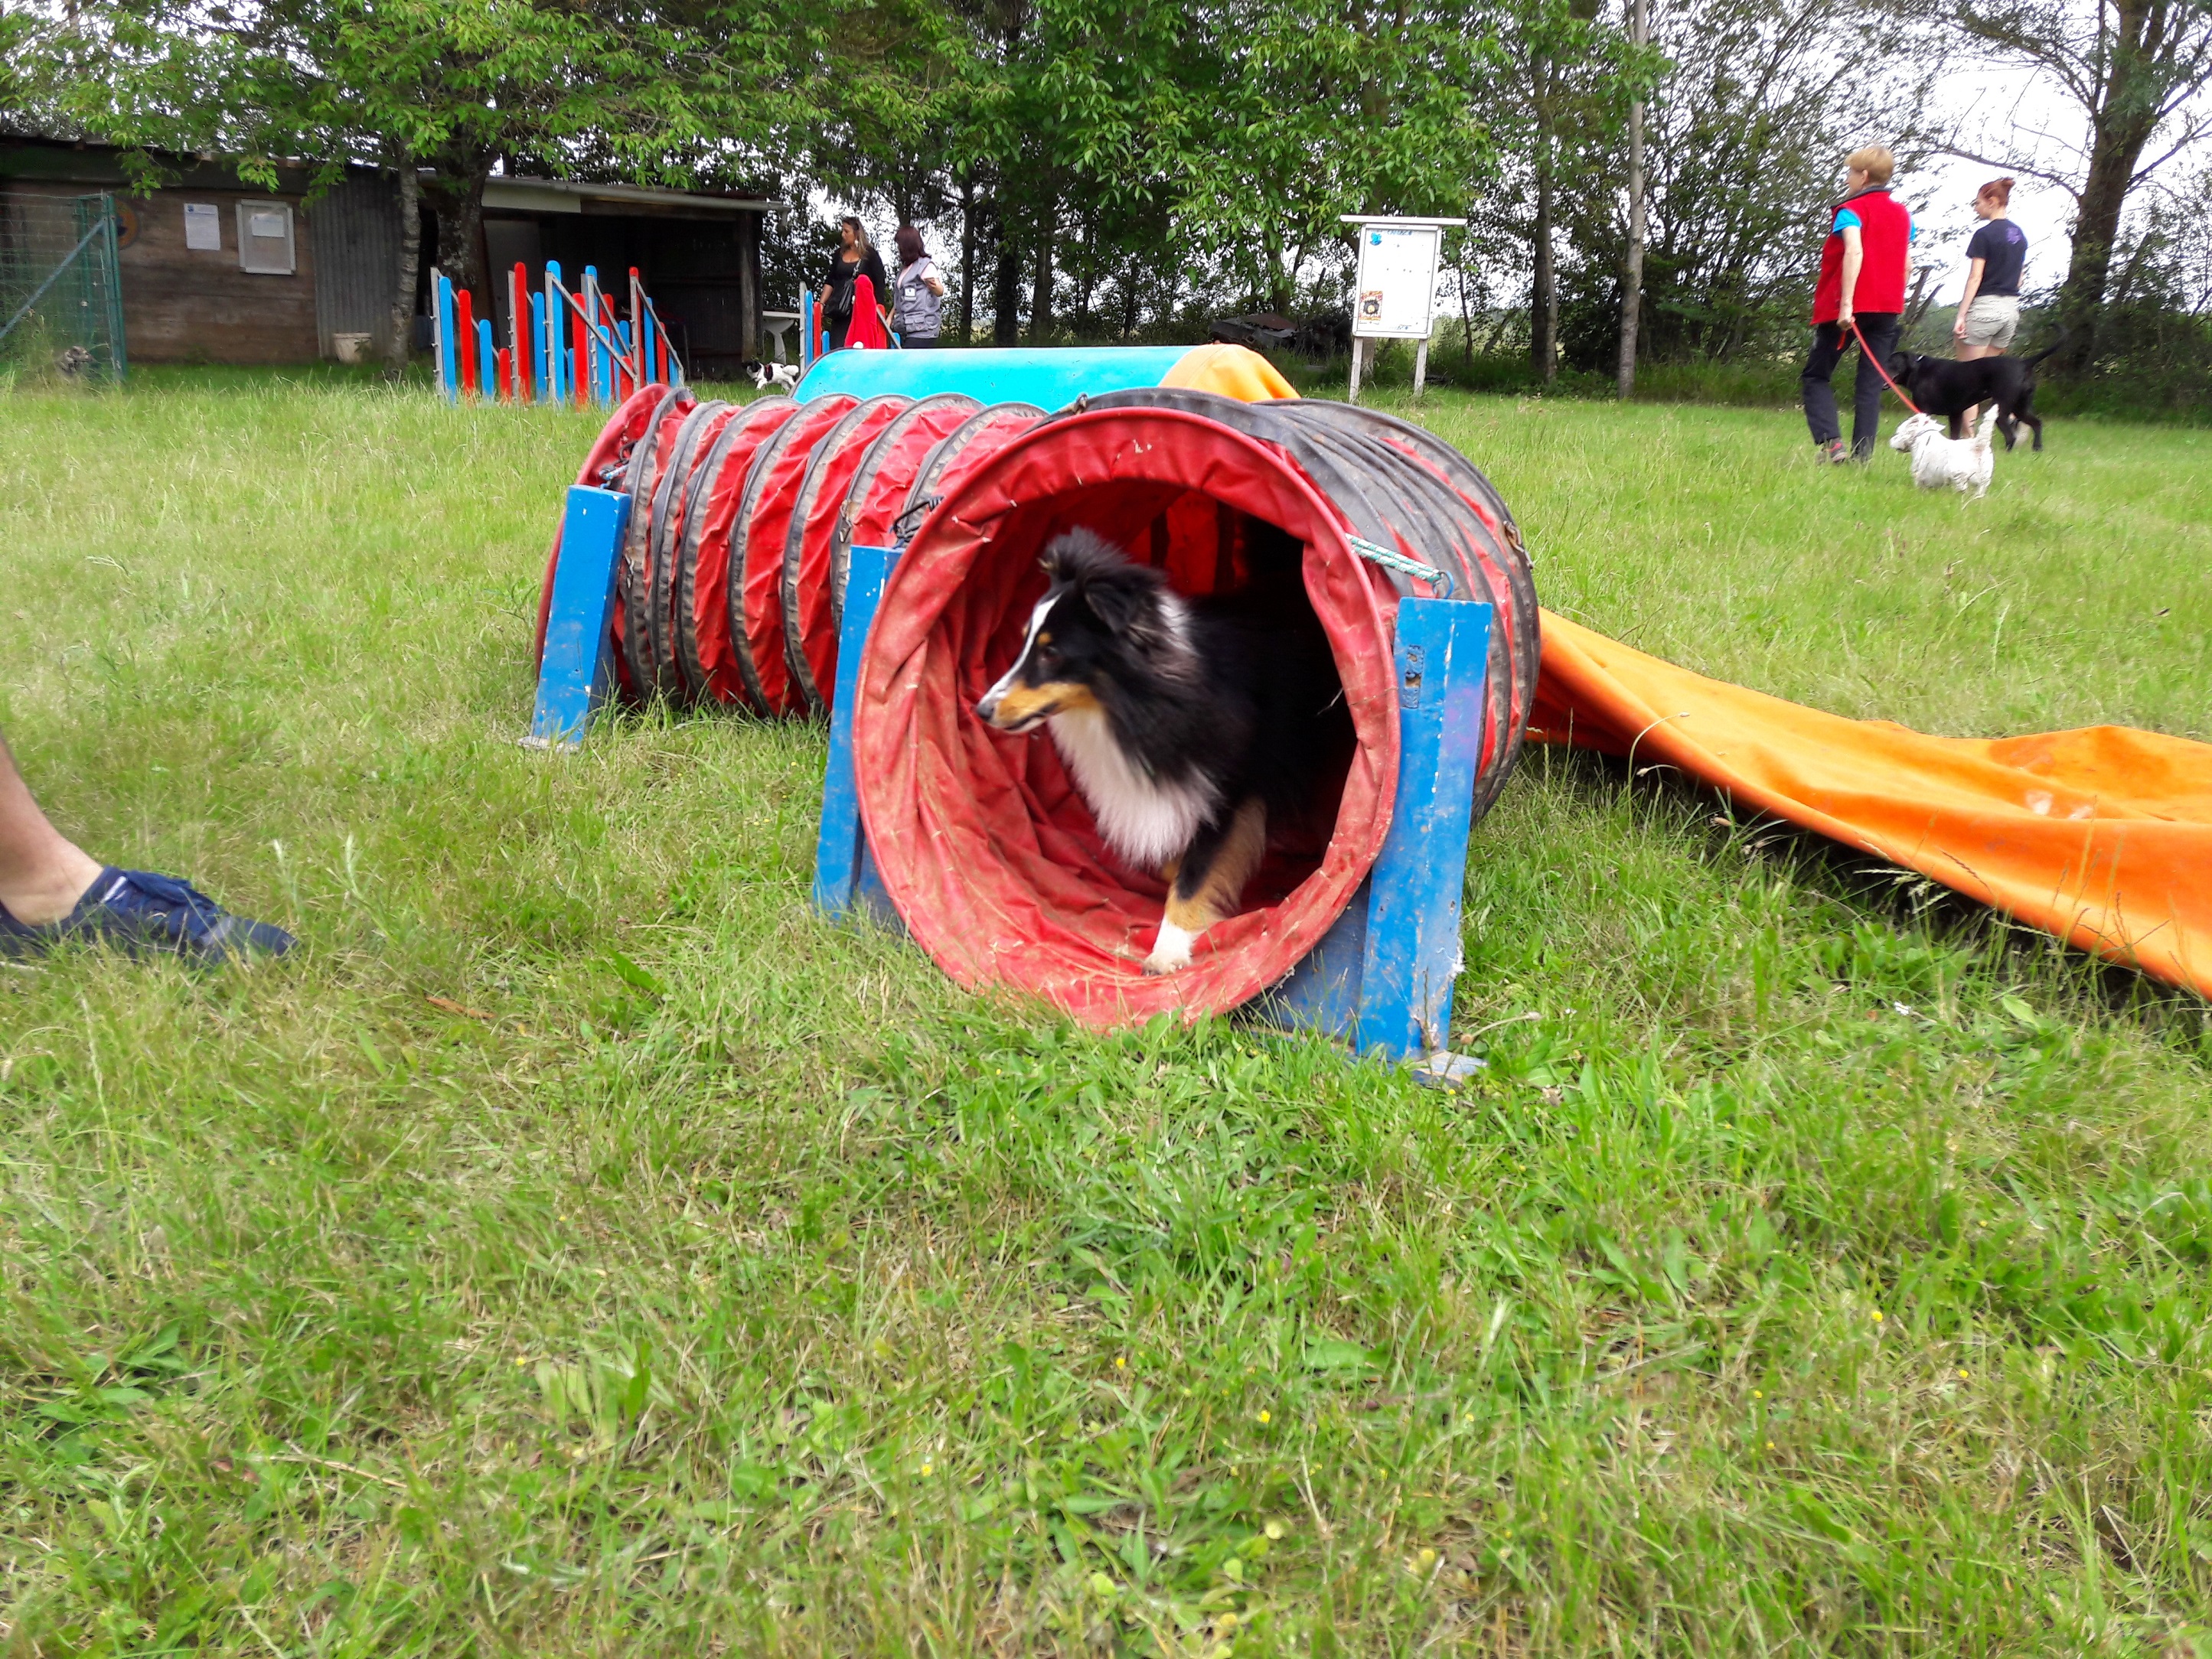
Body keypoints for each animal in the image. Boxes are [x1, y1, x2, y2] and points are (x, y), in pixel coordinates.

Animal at [982, 528, 1353, 973]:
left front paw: (1167, 952)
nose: (982, 710)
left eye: (1051, 653)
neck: (1142, 698)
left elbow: (1194, 875)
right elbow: (1170, 858)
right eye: (1023, 643)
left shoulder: (1225, 793)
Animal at [1884, 334, 2070, 451]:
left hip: (2001, 409)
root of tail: (2024, 363)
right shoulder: (1956, 414)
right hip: (2021, 407)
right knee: (2037, 423)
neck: (1917, 369)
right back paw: (2037, 448)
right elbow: (1954, 435)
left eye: (1891, 363)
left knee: (2011, 436)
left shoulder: (1925, 411)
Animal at [1893, 413, 1999, 497]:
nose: (1892, 440)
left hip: (1958, 473)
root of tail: (1978, 445)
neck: (1923, 437)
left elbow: (1920, 483)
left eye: (1898, 433)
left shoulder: (1919, 471)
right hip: (1985, 475)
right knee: (1980, 489)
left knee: (1963, 489)